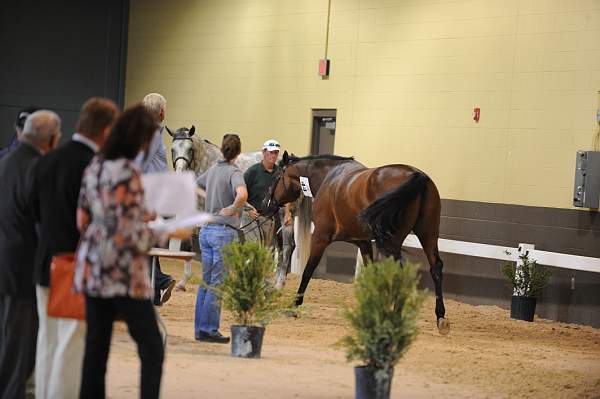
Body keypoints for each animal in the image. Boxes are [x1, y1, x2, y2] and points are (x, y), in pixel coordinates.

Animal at [264, 152, 450, 334]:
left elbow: (308, 270)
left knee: (400, 272)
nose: (268, 203)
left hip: (393, 242)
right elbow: (372, 273)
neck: (328, 178)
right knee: (436, 268)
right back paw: (440, 317)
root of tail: (417, 175)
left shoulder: (320, 237)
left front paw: (295, 305)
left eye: (277, 177)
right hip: (428, 235)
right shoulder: (363, 243)